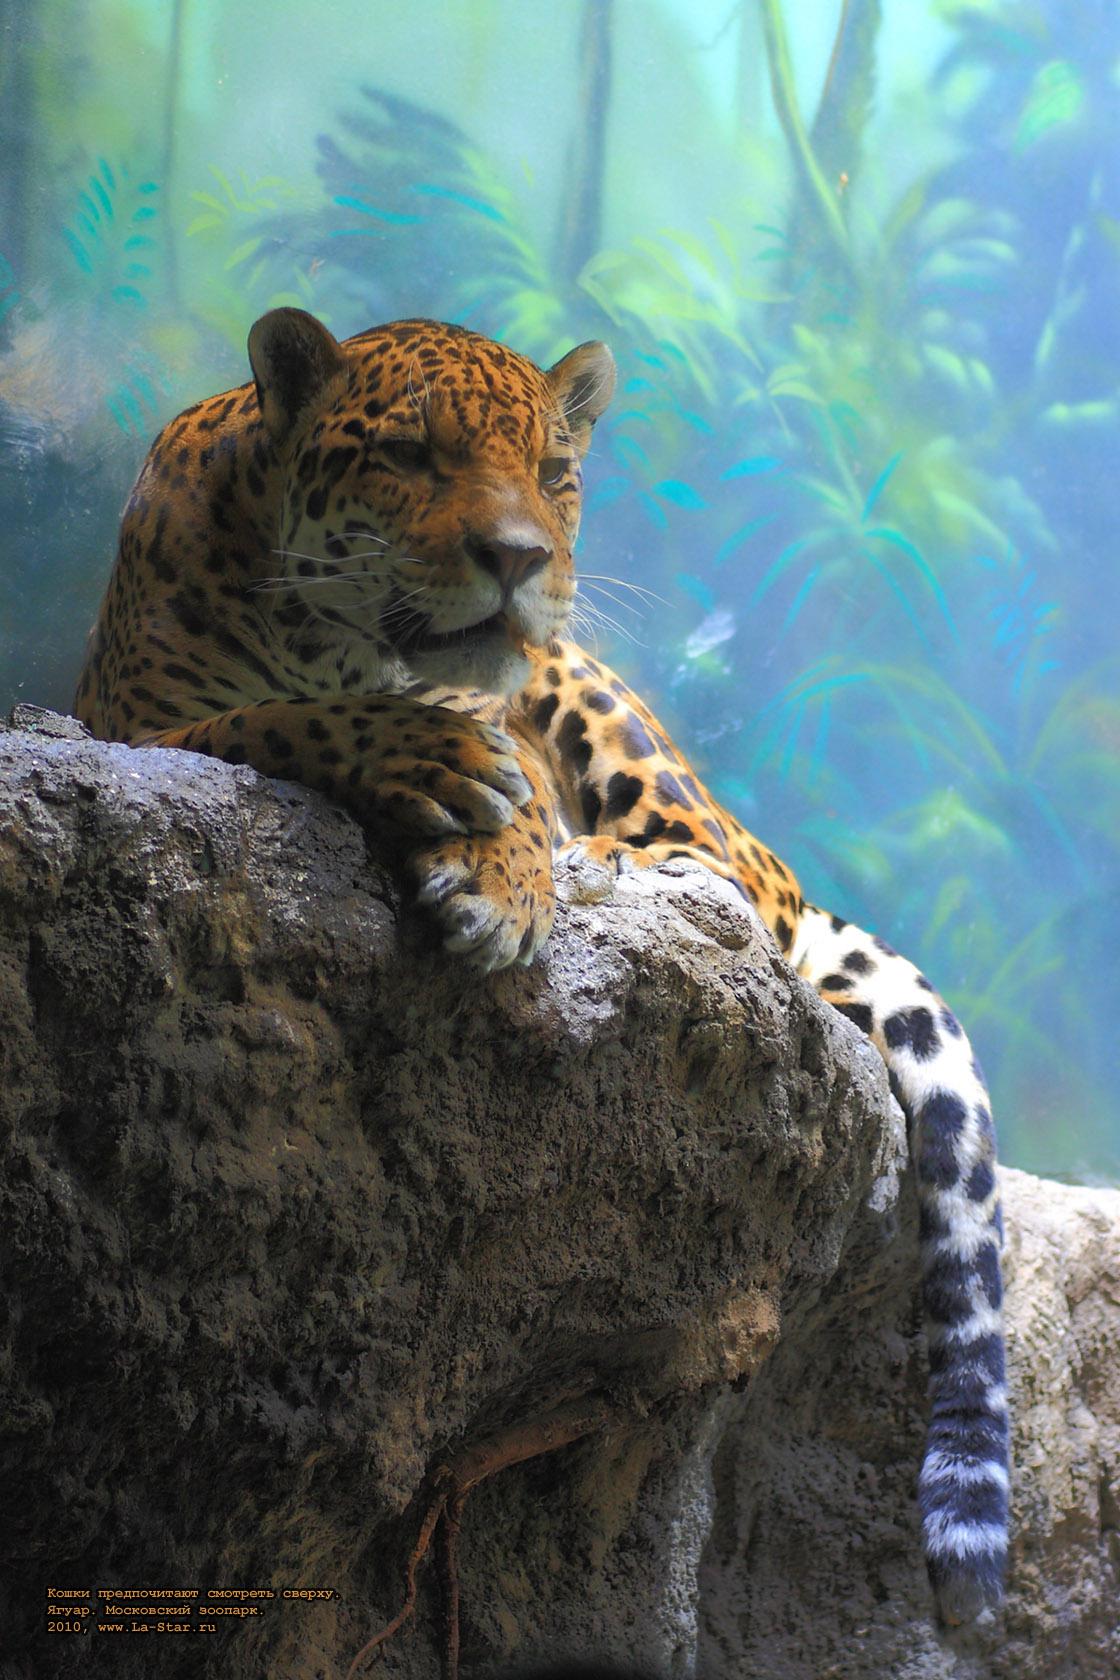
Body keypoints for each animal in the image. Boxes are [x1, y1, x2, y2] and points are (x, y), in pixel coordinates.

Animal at [75, 307, 1009, 1626]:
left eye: (556, 475)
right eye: (408, 456)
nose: (518, 557)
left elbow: (495, 764)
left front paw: (507, 872)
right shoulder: (137, 723)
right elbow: (278, 720)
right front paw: (440, 774)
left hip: (614, 713)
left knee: (734, 875)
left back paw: (607, 861)